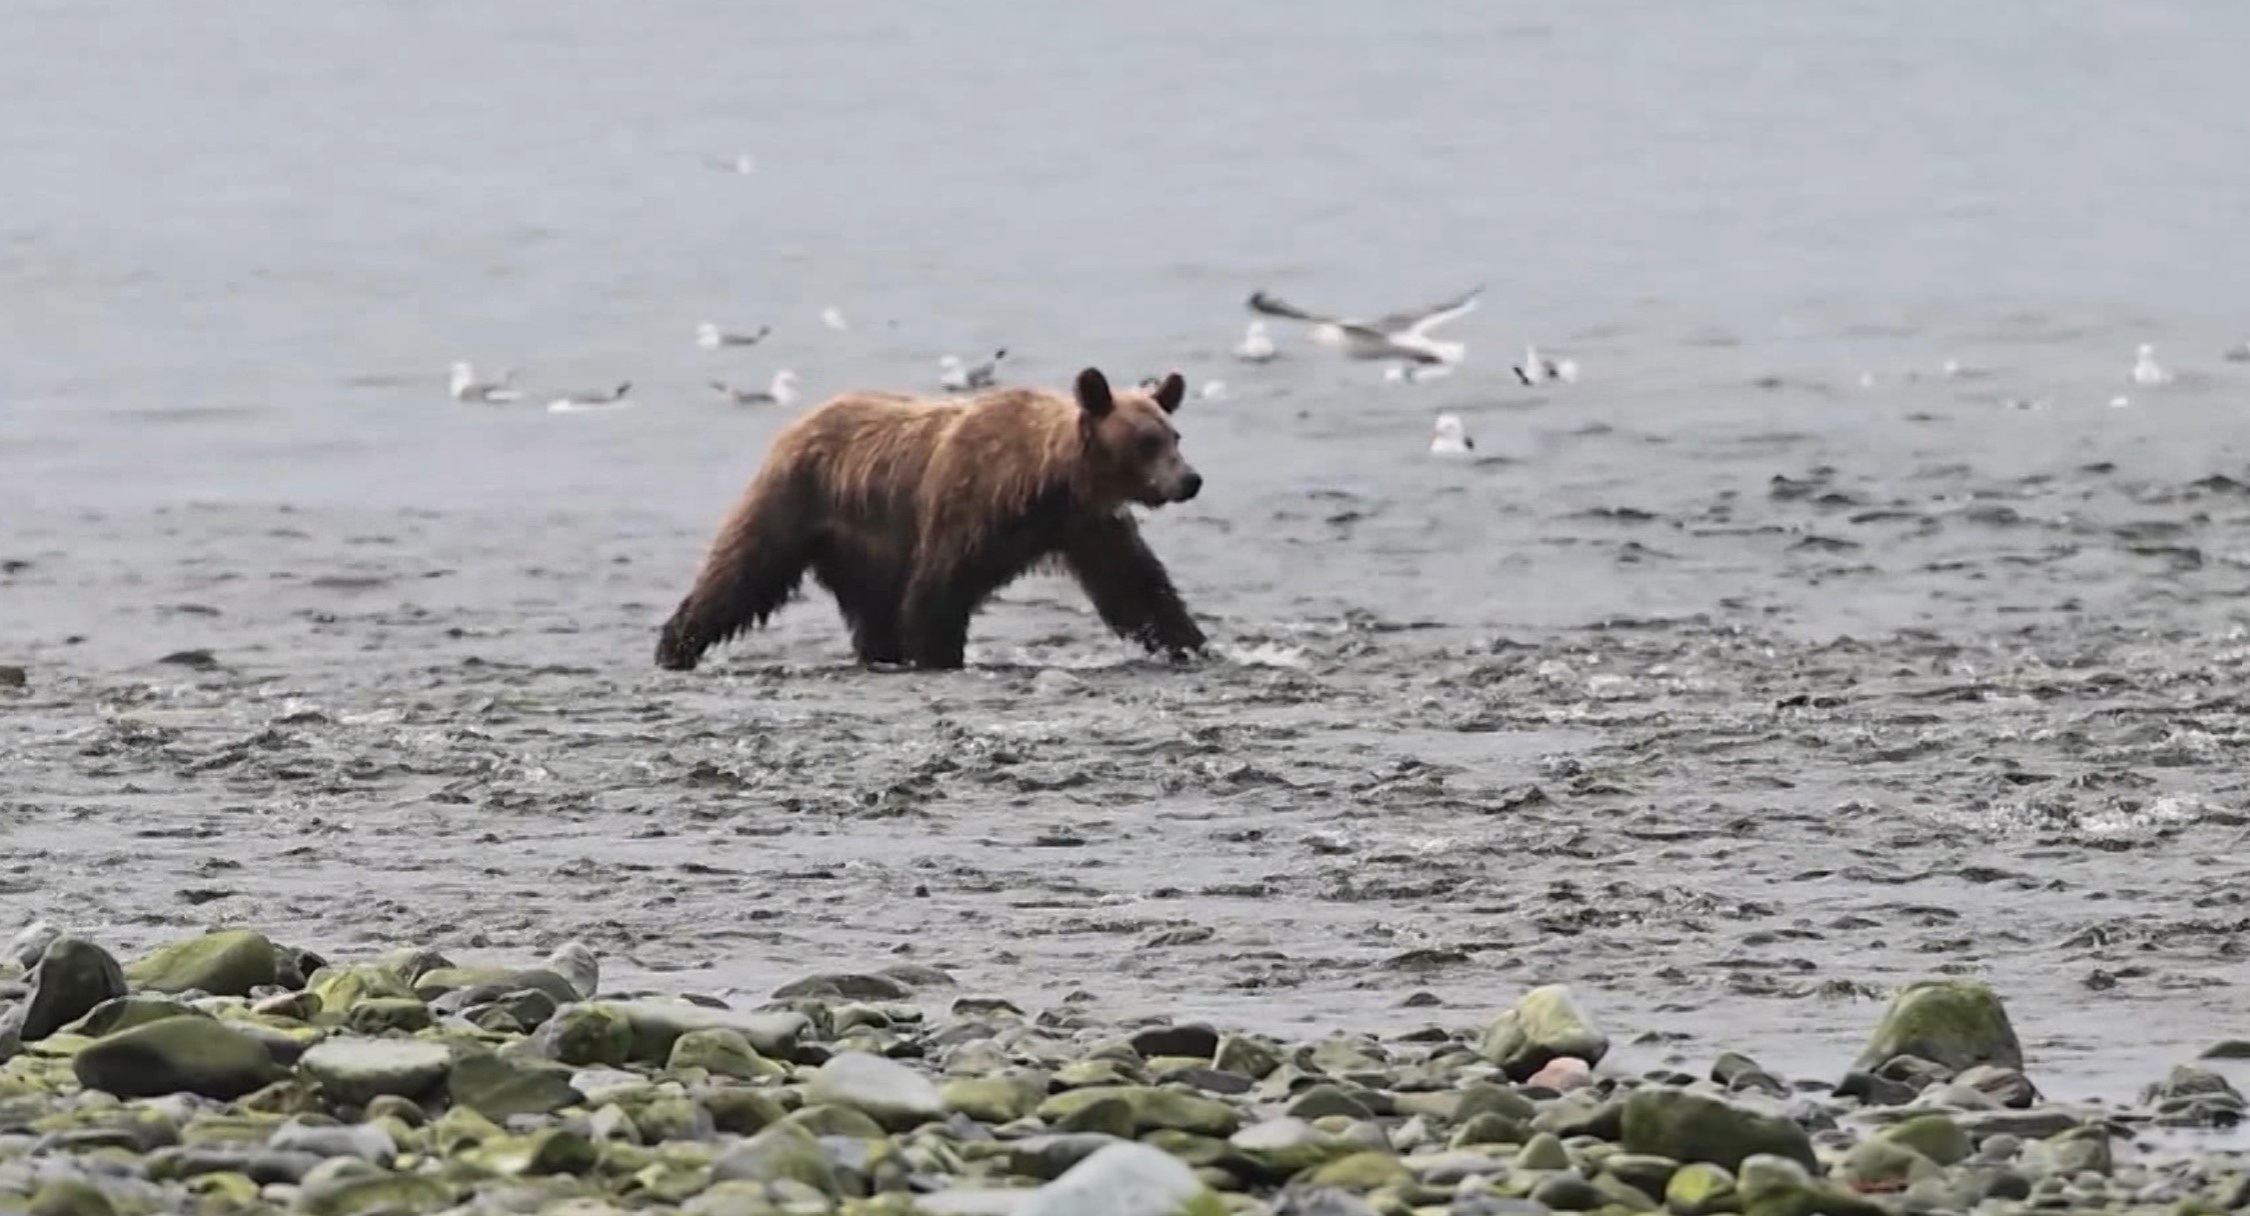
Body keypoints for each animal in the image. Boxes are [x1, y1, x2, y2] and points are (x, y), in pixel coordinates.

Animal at [654, 366, 1208, 672]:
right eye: (1147, 441)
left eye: (1174, 435)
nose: (1190, 479)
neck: (1046, 479)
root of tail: (800, 421)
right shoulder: (966, 509)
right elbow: (936, 592)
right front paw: (940, 654)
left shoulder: (1085, 525)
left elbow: (1136, 589)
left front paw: (1193, 645)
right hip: (797, 500)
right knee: (742, 571)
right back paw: (676, 646)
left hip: (861, 547)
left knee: (872, 613)